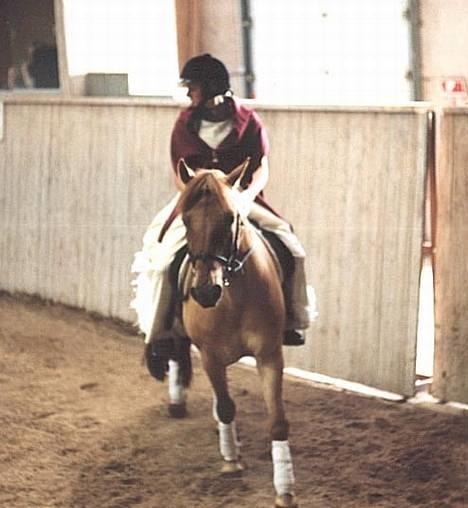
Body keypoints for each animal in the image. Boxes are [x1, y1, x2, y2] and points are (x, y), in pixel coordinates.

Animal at [146, 160, 298, 508]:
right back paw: (178, 401)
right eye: (185, 219)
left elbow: (277, 421)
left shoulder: (269, 355)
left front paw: (284, 489)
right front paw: (231, 462)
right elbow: (227, 406)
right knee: (178, 351)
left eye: (230, 218)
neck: (232, 296)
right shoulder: (211, 356)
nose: (204, 292)